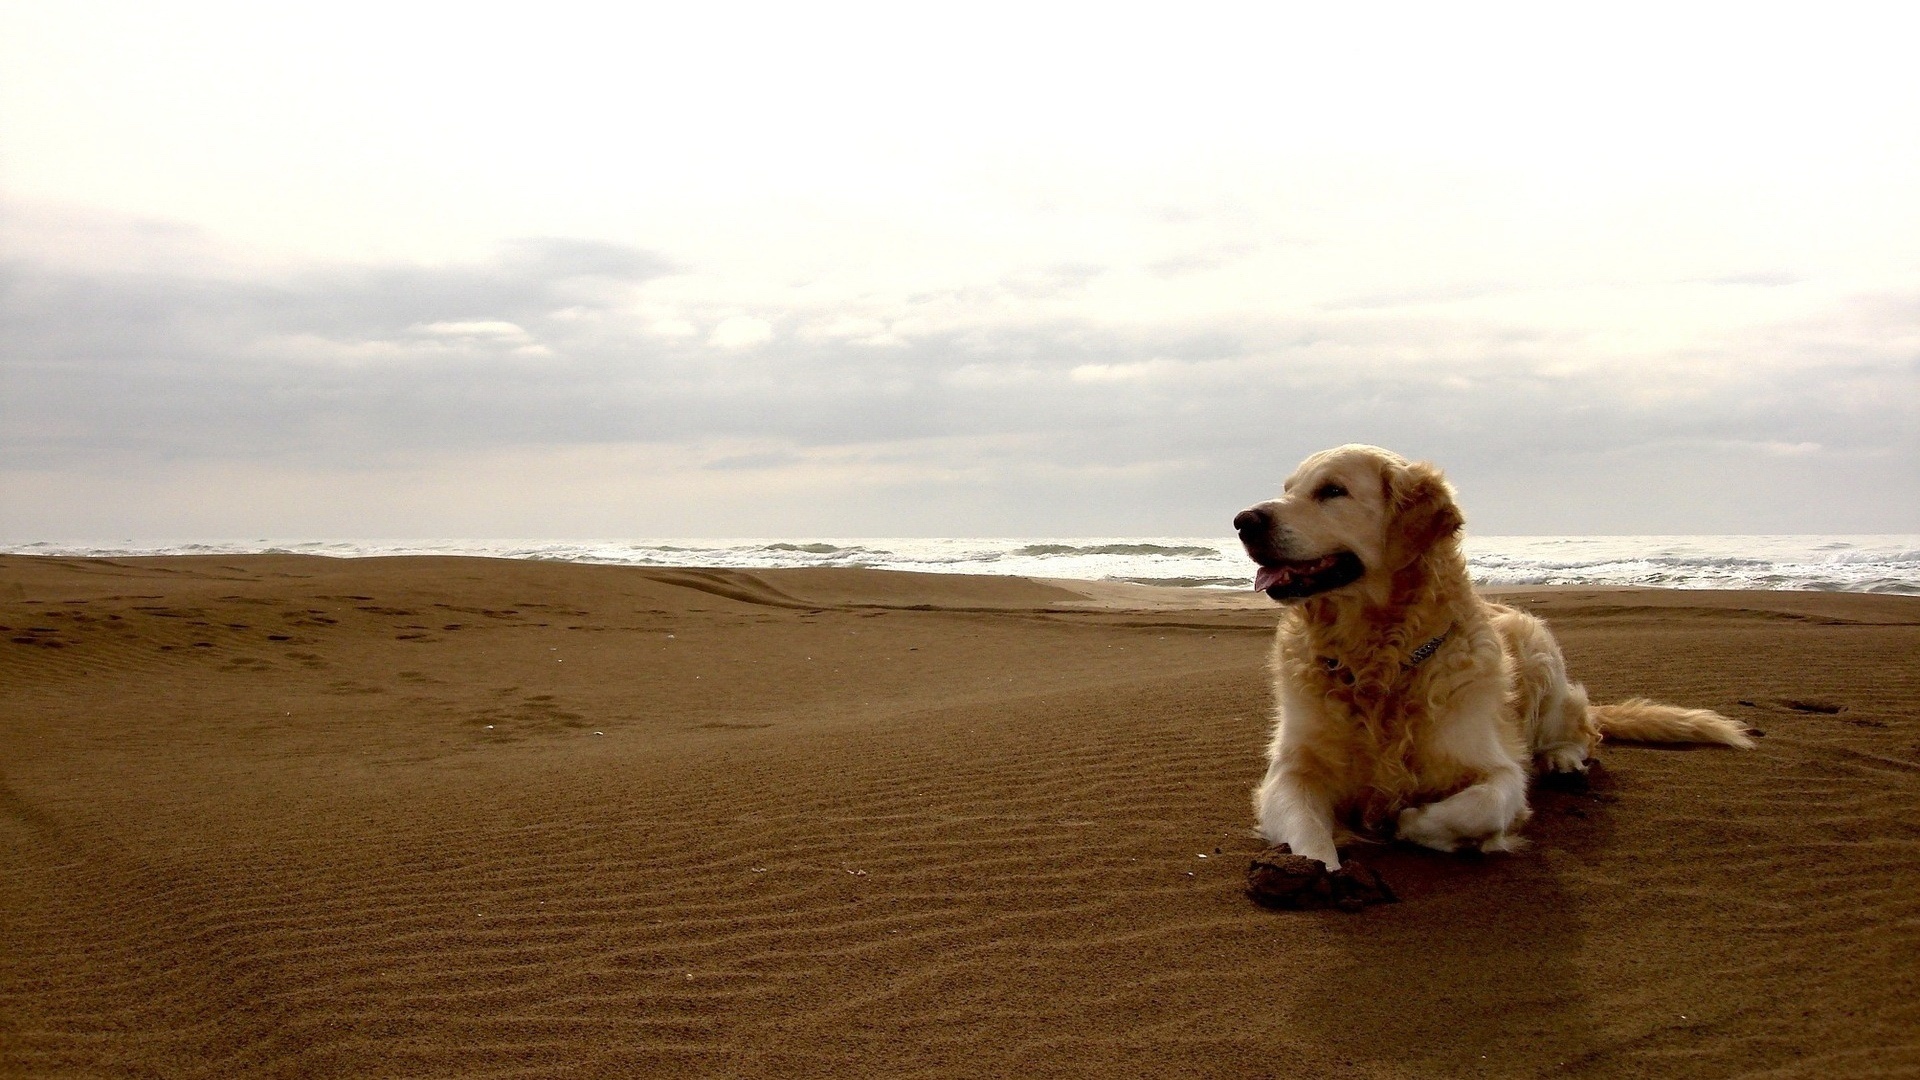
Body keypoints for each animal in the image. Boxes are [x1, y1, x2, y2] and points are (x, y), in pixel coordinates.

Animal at [1228, 441, 1758, 868]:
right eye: (1288, 488)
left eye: (1332, 491)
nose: (1242, 520)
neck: (1380, 663)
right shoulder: (1290, 772)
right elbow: (1308, 833)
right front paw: (1319, 873)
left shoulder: (1497, 769)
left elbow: (1476, 806)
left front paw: (1407, 821)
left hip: (1541, 655)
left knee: (1584, 729)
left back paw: (1563, 759)